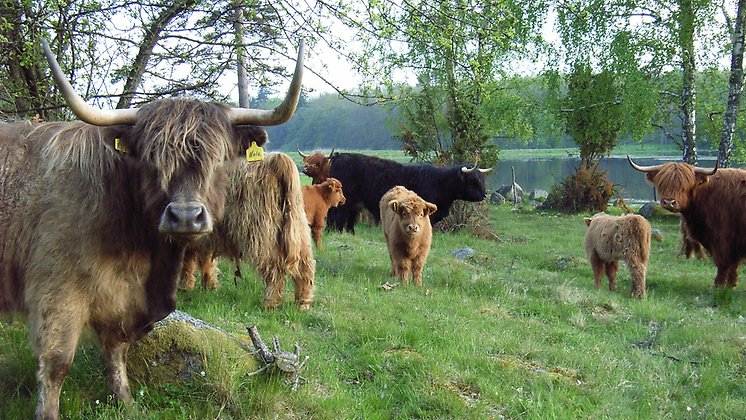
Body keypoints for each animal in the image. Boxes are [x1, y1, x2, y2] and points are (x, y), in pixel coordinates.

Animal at [180, 153, 316, 309]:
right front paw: (208, 286)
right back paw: (303, 302)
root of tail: (277, 158)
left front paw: (184, 287)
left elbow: (186, 262)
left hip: (261, 231)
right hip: (297, 227)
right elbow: (204, 261)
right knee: (305, 265)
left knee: (274, 266)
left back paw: (270, 303)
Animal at [326, 153, 492, 233]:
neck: (439, 183)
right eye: (473, 180)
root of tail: (339, 156)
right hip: (344, 201)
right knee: (337, 215)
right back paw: (336, 232)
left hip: (354, 203)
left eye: (482, 179)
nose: (484, 195)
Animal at [627, 156, 746, 288]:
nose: (669, 202)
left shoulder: (723, 238)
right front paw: (731, 285)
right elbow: (732, 265)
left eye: (683, 185)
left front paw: (718, 286)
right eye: (663, 183)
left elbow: (723, 263)